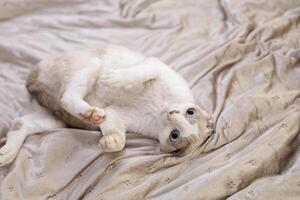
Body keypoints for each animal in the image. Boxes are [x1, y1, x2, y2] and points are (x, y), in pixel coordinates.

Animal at [0, 44, 213, 166]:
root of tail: (30, 80)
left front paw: (110, 143)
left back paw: (7, 154)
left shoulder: (115, 116)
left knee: (24, 121)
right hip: (91, 64)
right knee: (67, 95)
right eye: (190, 112)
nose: (172, 113)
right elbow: (137, 74)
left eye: (174, 136)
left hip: (56, 120)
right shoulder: (155, 66)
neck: (158, 108)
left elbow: (118, 140)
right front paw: (113, 80)